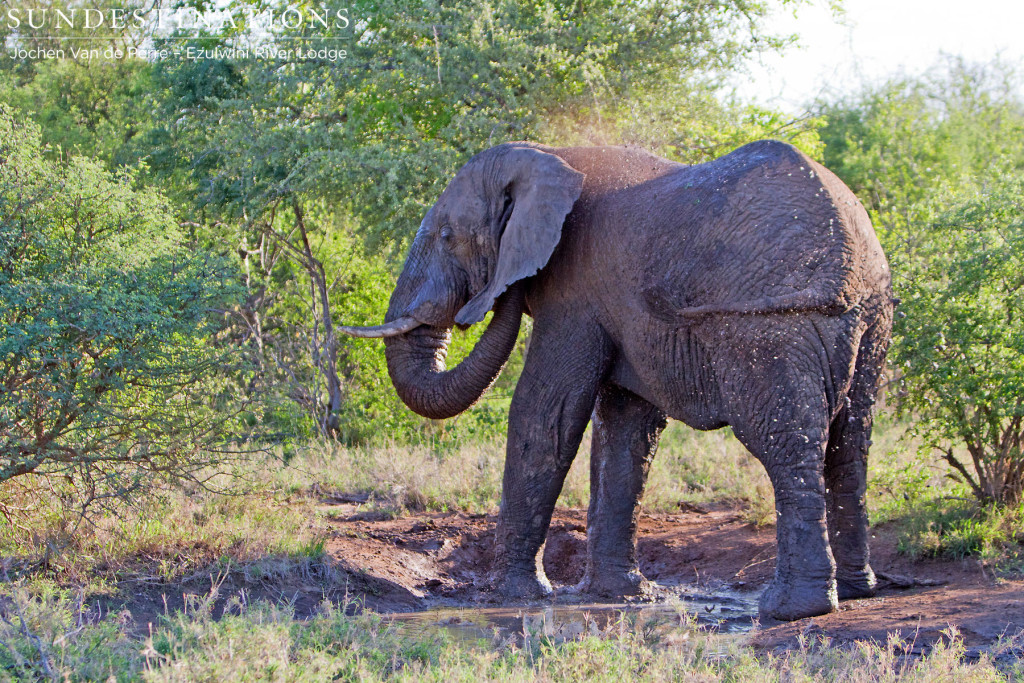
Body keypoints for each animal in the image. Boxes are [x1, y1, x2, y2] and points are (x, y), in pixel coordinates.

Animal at [339, 141, 892, 622]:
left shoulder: (574, 290)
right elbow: (627, 430)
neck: (549, 155)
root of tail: (849, 255)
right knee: (850, 443)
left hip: (771, 324)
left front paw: (513, 595)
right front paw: (618, 594)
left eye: (446, 236)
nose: (496, 296)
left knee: (783, 441)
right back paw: (856, 591)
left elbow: (547, 414)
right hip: (873, 322)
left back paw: (791, 608)